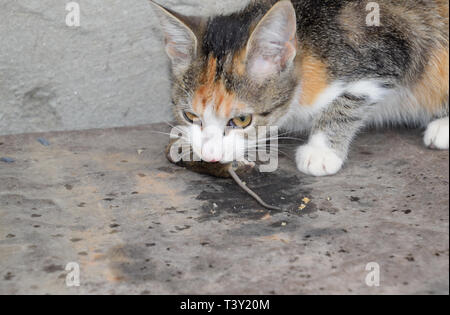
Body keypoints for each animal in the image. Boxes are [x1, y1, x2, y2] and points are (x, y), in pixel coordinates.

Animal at [150, 0, 446, 177]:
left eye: (242, 120)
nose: (211, 156)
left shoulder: (391, 47)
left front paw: (322, 150)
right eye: (190, 116)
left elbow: (350, 98)